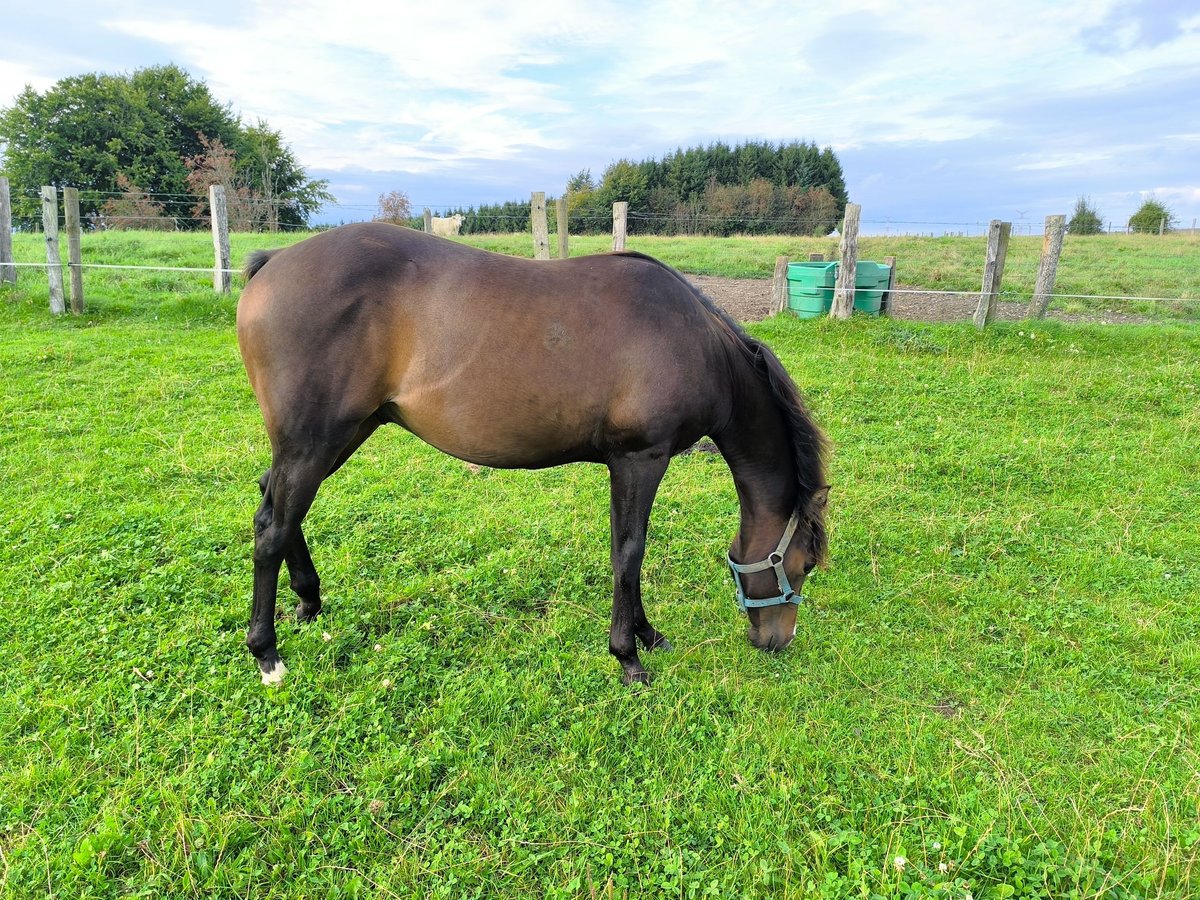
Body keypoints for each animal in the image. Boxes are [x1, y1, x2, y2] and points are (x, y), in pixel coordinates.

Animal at [238, 222, 830, 686]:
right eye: (802, 565)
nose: (777, 641)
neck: (694, 341)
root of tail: (274, 262)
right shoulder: (640, 459)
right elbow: (629, 552)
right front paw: (628, 656)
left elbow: (627, 550)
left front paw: (646, 633)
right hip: (314, 442)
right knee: (272, 527)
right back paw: (267, 654)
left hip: (341, 434)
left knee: (276, 502)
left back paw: (309, 601)